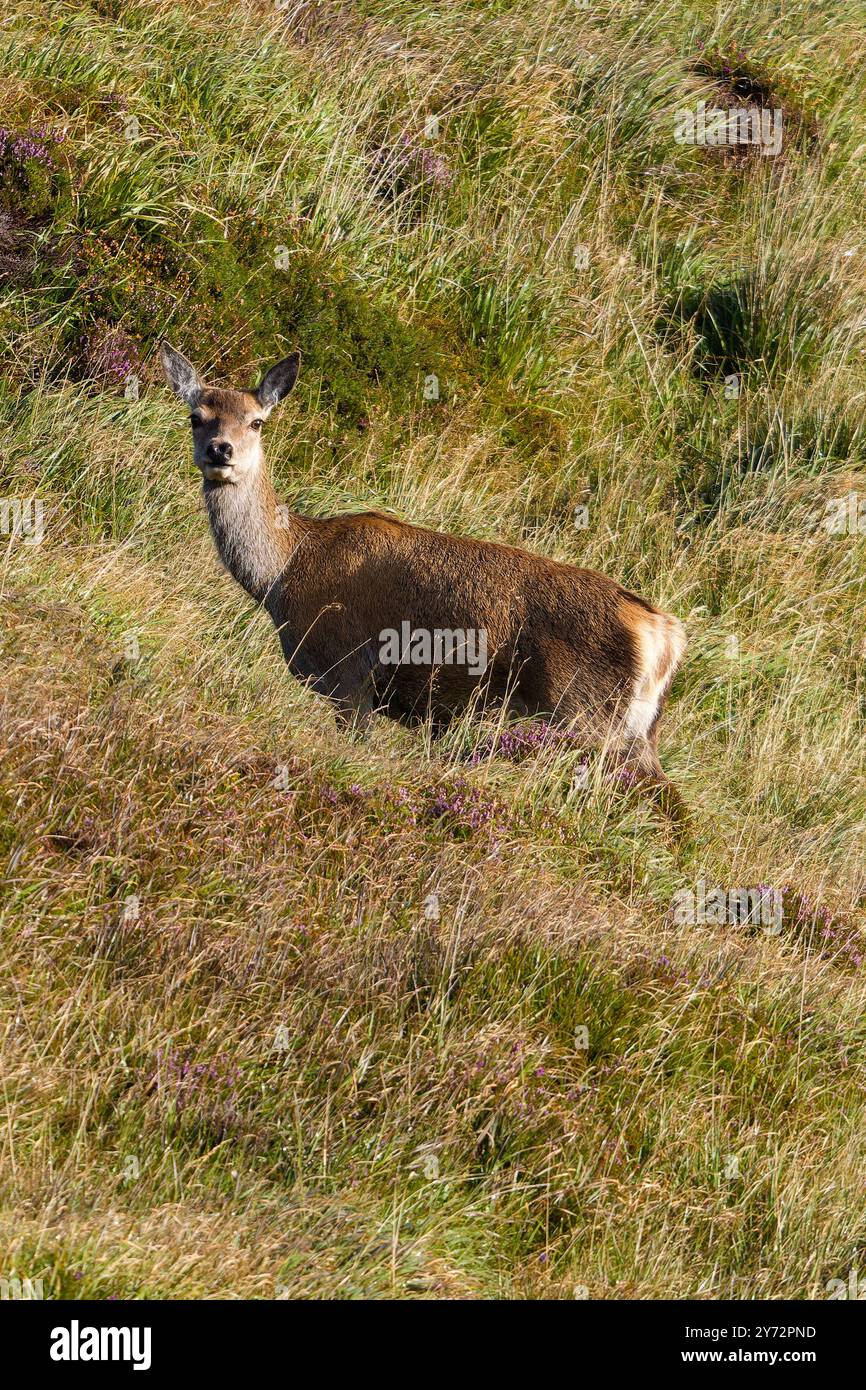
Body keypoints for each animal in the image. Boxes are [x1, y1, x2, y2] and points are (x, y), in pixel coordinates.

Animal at [160, 343, 687, 815]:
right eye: (196, 416)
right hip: (635, 732)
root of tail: (664, 633)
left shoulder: (349, 674)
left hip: (585, 714)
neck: (286, 573)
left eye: (257, 422)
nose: (220, 450)